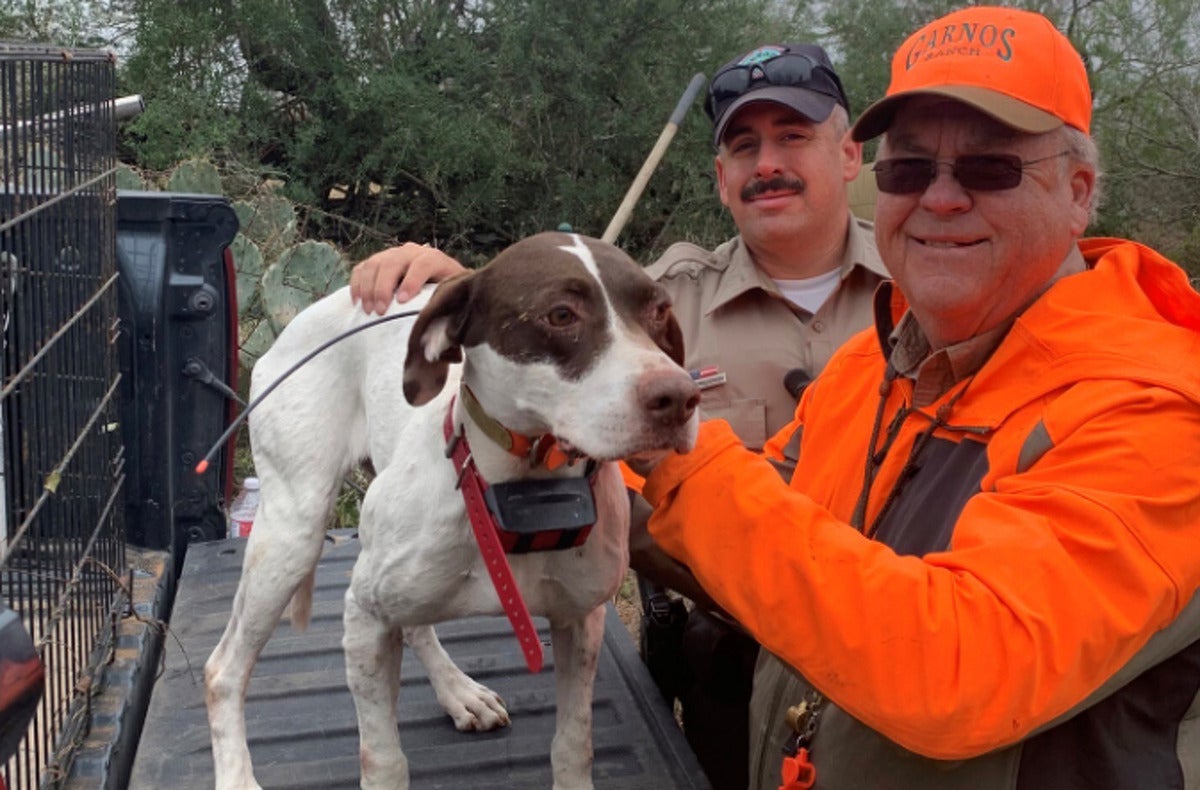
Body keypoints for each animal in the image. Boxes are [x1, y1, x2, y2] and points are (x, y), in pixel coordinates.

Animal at [201, 230, 700, 782]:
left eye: (659, 310)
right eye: (561, 314)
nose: (680, 398)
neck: (522, 488)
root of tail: (310, 312)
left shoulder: (580, 622)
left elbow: (574, 745)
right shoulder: (365, 619)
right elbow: (383, 759)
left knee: (414, 622)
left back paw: (458, 690)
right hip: (293, 536)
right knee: (223, 670)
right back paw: (236, 776)